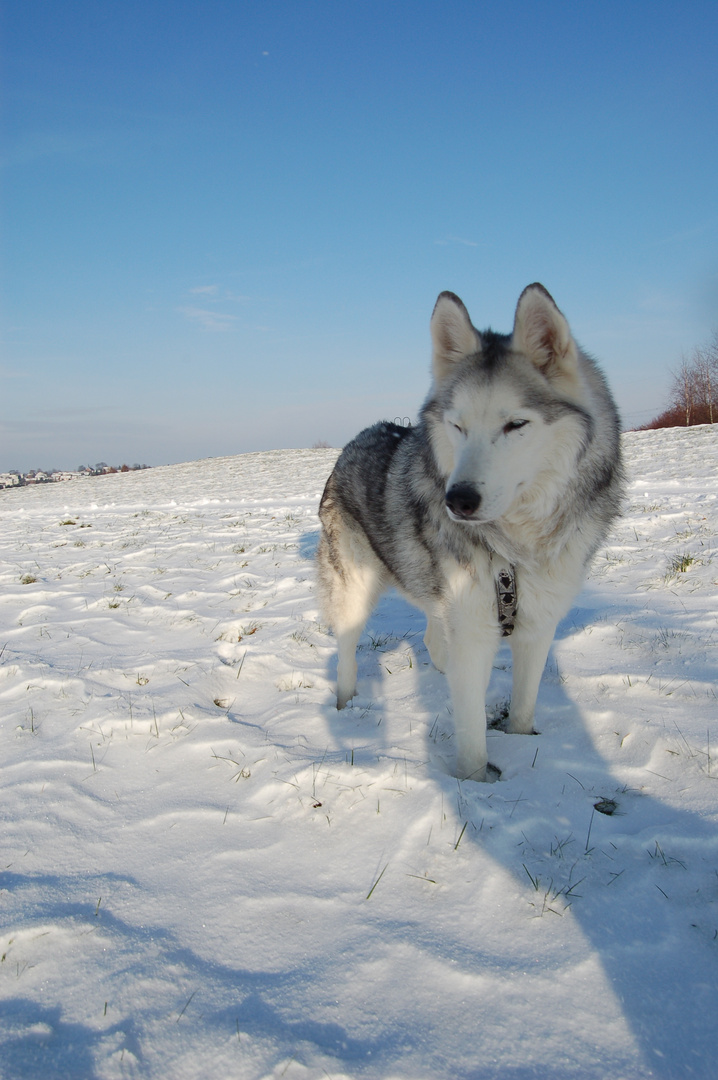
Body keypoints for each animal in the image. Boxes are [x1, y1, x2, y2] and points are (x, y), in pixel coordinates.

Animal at [317, 282, 626, 781]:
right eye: (457, 426)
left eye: (516, 424)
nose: (457, 500)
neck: (515, 549)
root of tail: (357, 438)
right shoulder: (473, 628)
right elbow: (472, 743)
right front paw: (476, 786)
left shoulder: (537, 628)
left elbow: (522, 710)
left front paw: (519, 749)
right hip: (354, 589)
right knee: (346, 649)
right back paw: (346, 710)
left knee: (433, 639)